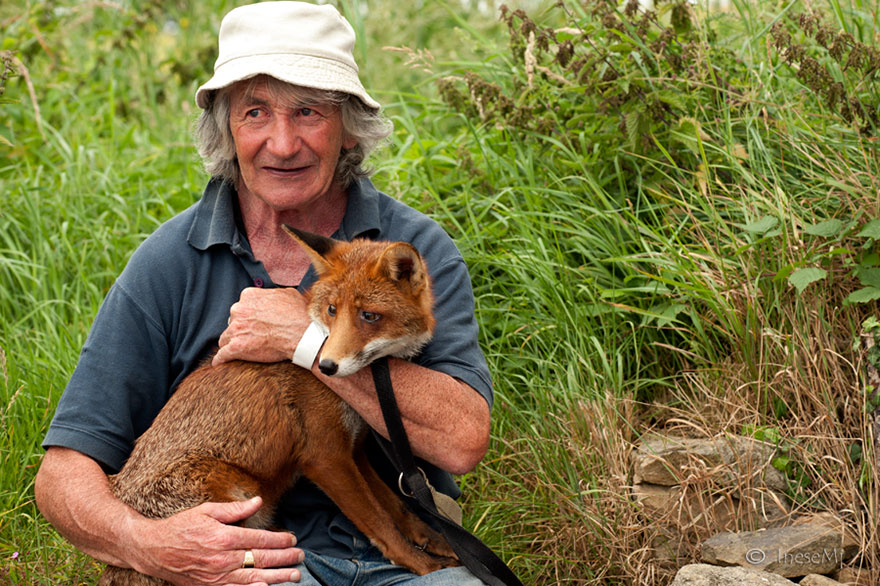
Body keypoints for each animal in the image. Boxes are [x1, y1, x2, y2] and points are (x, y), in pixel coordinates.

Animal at [99, 226, 459, 586]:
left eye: (369, 316)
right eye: (332, 310)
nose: (326, 366)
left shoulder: (354, 451)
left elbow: (397, 508)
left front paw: (435, 539)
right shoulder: (325, 457)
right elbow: (381, 526)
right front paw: (423, 565)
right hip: (235, 491)